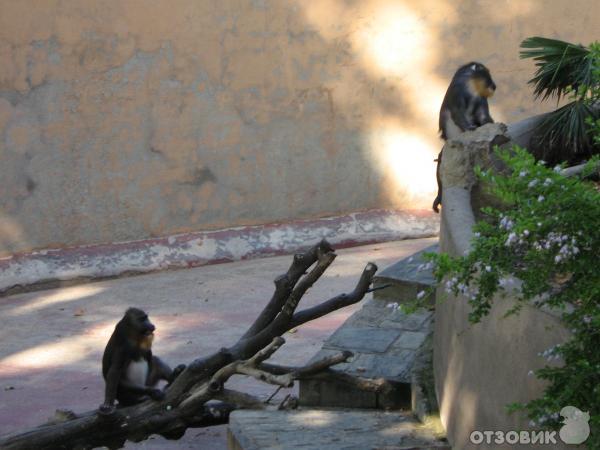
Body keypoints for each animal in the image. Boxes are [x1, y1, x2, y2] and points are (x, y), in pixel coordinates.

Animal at [432, 61, 496, 213]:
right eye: (487, 74)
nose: (494, 86)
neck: (471, 87)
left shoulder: (480, 99)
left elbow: (483, 116)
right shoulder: (457, 92)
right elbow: (457, 112)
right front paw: (469, 128)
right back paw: (439, 197)